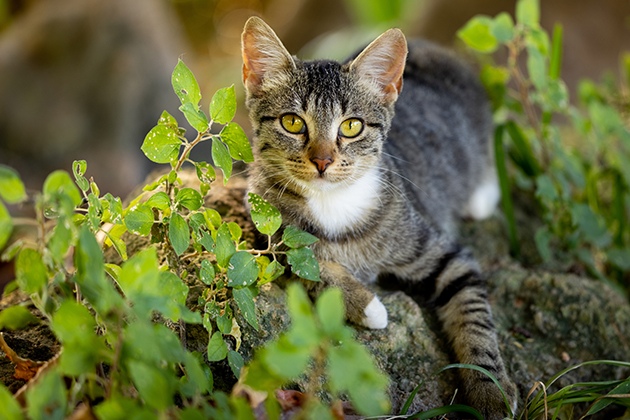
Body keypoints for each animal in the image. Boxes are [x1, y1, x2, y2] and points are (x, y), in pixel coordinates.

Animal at [242, 16, 520, 420]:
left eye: (352, 126)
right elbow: (308, 264)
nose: (323, 160)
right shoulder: (270, 230)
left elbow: (474, 317)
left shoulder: (448, 255)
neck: (334, 202)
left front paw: (490, 390)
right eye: (292, 123)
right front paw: (368, 305)